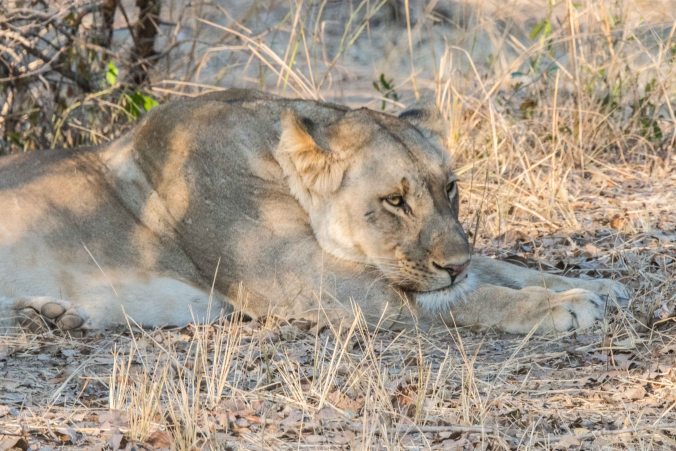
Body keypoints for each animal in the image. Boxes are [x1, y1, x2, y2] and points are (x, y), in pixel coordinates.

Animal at [0, 89, 628, 335]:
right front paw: (563, 305)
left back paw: (56, 315)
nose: (452, 264)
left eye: (450, 189)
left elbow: (499, 266)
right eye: (394, 200)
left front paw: (597, 285)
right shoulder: (308, 283)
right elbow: (461, 298)